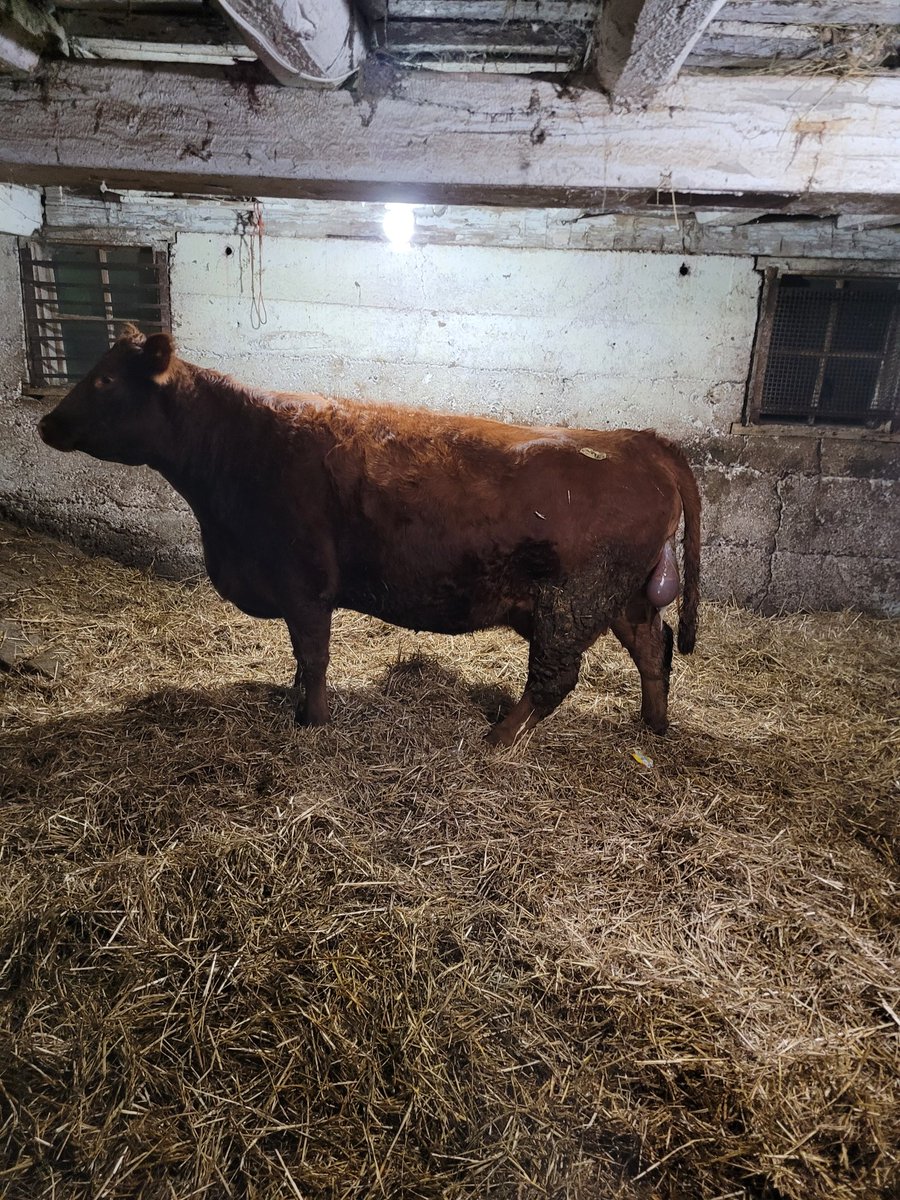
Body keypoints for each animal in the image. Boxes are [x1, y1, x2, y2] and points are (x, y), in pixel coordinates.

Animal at [38, 326, 700, 746]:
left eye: (104, 381)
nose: (46, 423)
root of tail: (638, 439)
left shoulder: (304, 582)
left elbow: (313, 656)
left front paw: (313, 722)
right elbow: (301, 661)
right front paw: (295, 704)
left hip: (571, 601)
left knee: (557, 676)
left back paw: (500, 737)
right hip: (620, 595)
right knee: (653, 646)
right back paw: (651, 724)